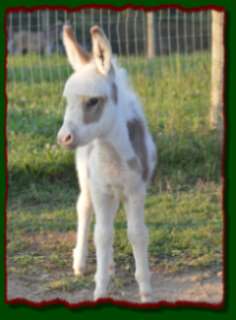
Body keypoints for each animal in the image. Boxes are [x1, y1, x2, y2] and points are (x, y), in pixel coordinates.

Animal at [57, 23, 157, 302]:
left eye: (93, 101)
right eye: (67, 100)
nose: (63, 138)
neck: (112, 153)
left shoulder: (136, 190)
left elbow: (137, 234)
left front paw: (145, 291)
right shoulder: (101, 188)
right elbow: (101, 235)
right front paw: (100, 289)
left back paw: (109, 266)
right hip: (87, 179)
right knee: (84, 207)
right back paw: (80, 263)